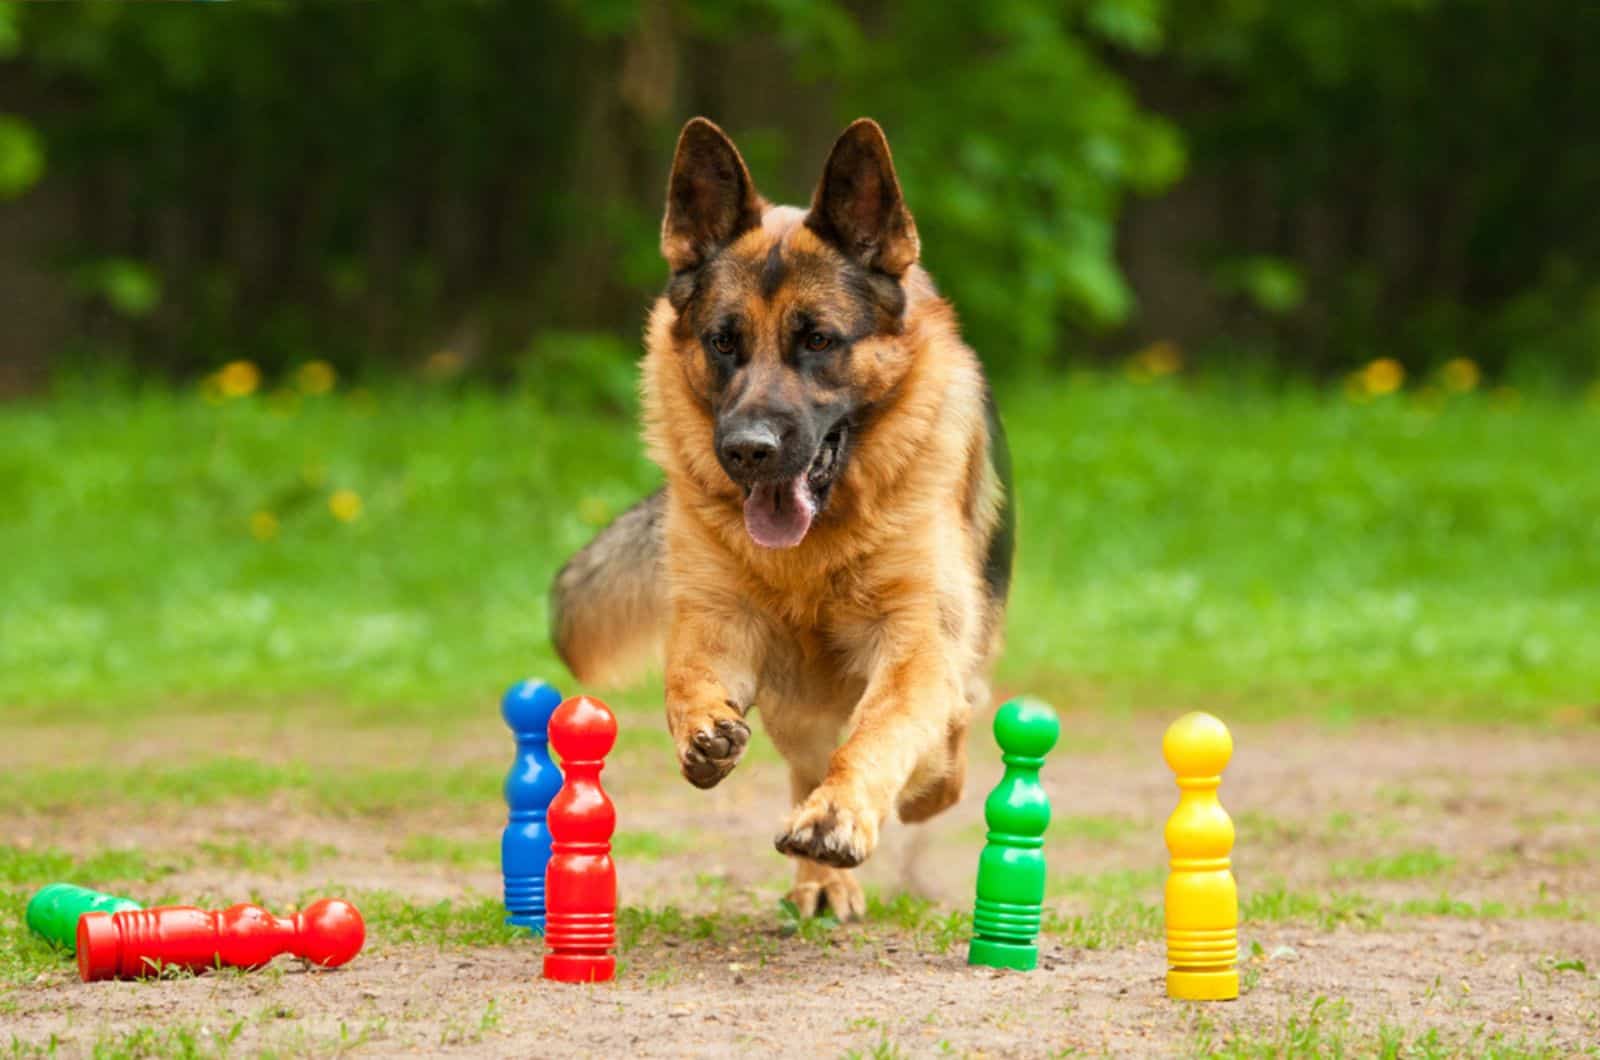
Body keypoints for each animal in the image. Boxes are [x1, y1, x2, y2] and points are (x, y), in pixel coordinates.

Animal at [553, 116, 1011, 922]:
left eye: (819, 340)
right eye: (723, 340)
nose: (748, 451)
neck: (816, 549)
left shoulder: (916, 642)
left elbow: (884, 732)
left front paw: (841, 816)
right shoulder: (718, 620)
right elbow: (686, 676)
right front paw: (702, 728)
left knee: (936, 743)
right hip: (797, 707)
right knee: (808, 757)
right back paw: (822, 883)